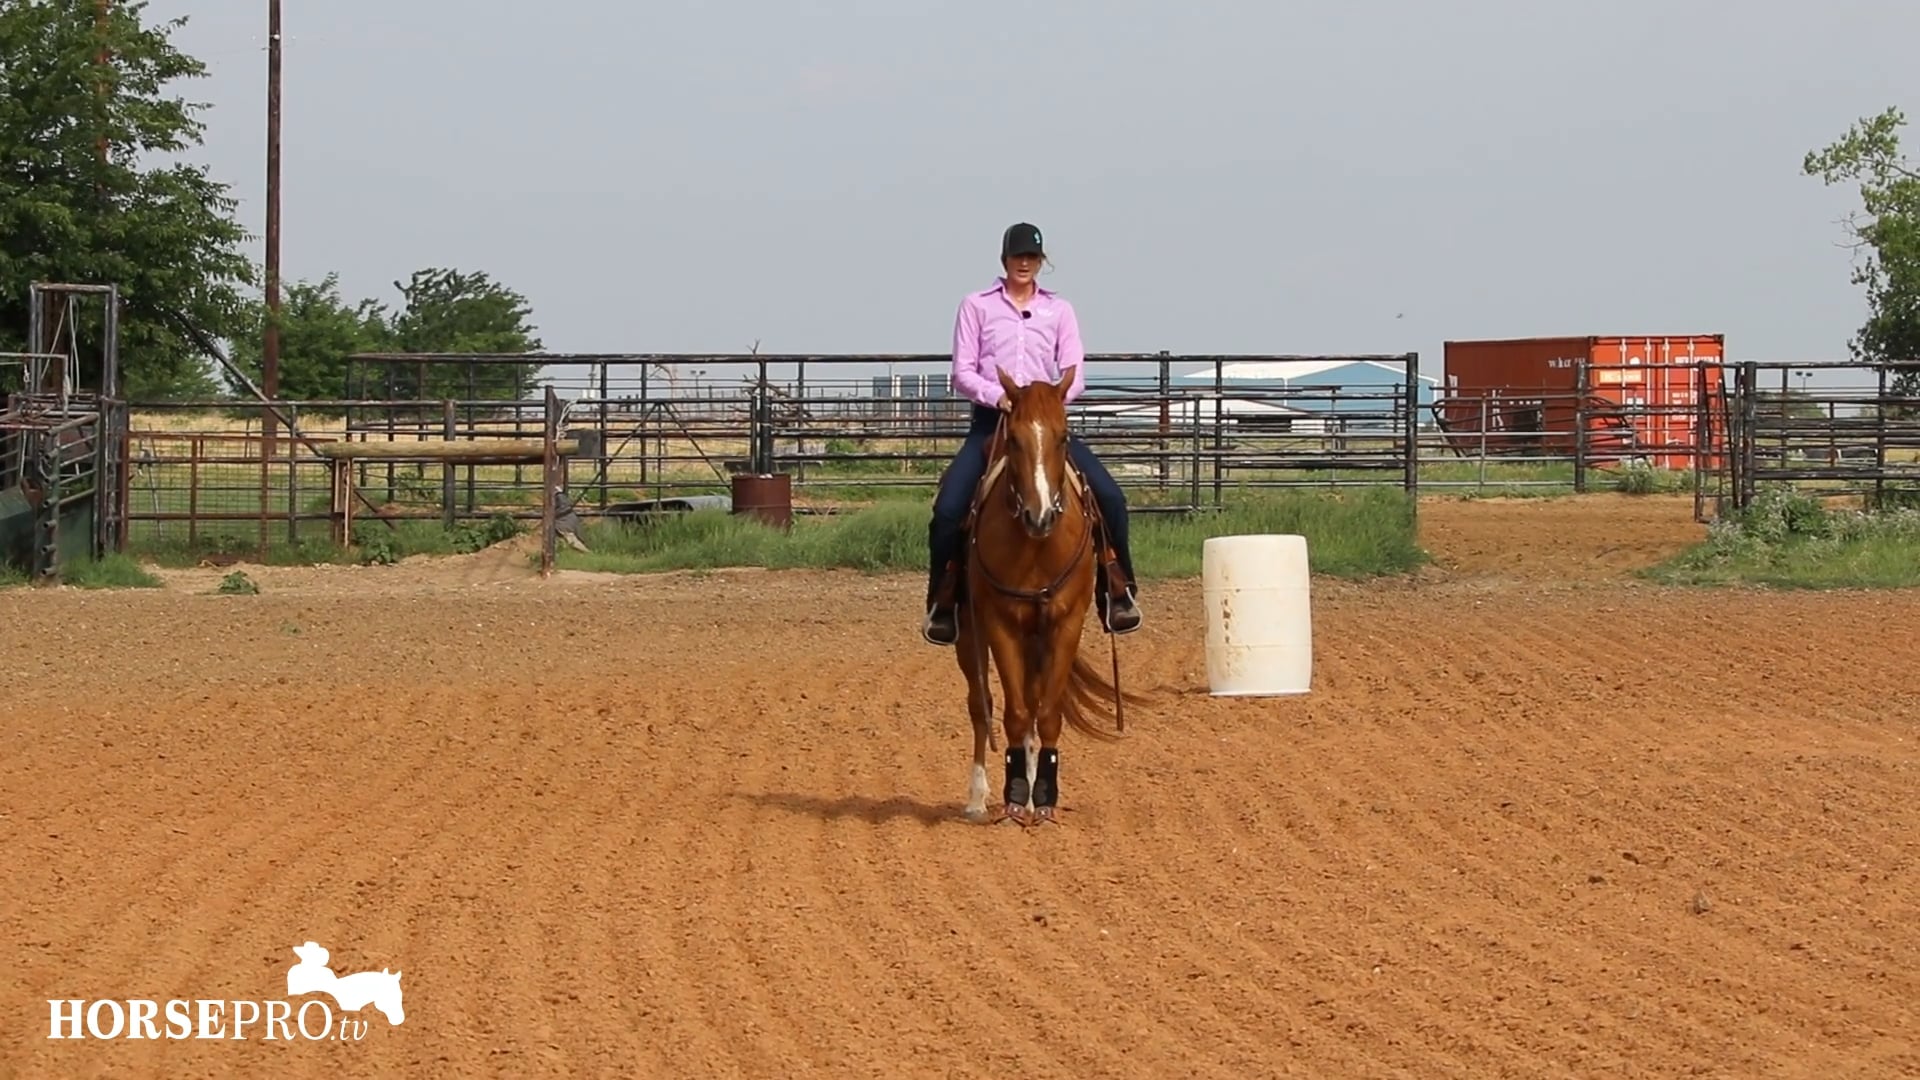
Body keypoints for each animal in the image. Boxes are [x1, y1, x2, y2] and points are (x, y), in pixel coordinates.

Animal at [953, 367, 1143, 826]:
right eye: (1014, 439)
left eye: (1063, 435)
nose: (1039, 517)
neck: (1036, 545)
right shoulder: (1001, 623)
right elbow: (1016, 712)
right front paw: (1014, 797)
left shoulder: (1065, 622)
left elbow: (1047, 712)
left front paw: (1044, 798)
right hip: (970, 633)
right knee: (980, 704)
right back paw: (977, 797)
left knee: (1033, 699)